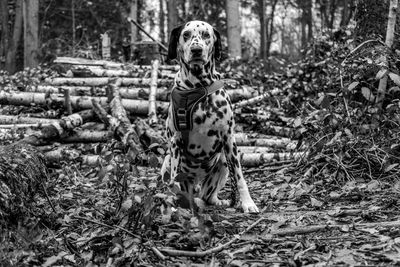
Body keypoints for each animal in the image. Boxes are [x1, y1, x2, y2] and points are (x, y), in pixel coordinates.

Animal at [160, 20, 260, 214]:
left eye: (206, 34)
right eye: (186, 34)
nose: (196, 50)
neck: (198, 87)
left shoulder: (229, 139)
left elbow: (240, 178)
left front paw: (248, 203)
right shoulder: (175, 142)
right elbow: (175, 178)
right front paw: (172, 205)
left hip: (223, 162)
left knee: (208, 197)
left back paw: (220, 201)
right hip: (167, 162)